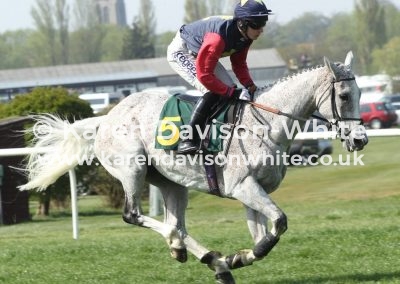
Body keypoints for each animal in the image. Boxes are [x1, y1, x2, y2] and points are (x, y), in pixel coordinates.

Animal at [20, 52, 368, 282]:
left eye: (361, 92)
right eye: (344, 95)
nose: (360, 139)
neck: (266, 125)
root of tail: (105, 118)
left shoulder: (252, 191)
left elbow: (262, 234)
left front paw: (239, 257)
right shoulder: (243, 187)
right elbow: (280, 222)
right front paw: (237, 257)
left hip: (171, 182)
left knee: (177, 224)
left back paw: (211, 260)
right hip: (132, 169)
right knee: (138, 216)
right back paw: (190, 249)